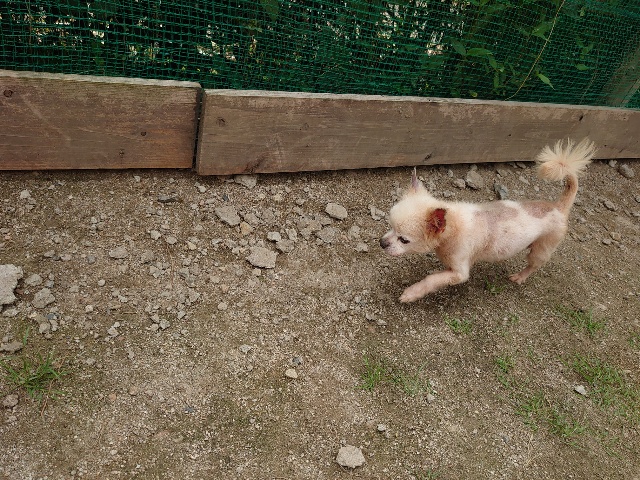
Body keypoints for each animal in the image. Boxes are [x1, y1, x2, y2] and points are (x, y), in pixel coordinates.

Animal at [380, 138, 596, 303]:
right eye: (390, 227)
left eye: (404, 239)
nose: (382, 243)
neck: (453, 226)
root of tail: (559, 207)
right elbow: (439, 275)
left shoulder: (460, 272)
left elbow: (432, 280)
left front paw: (411, 293)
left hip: (542, 248)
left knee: (533, 265)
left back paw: (519, 277)